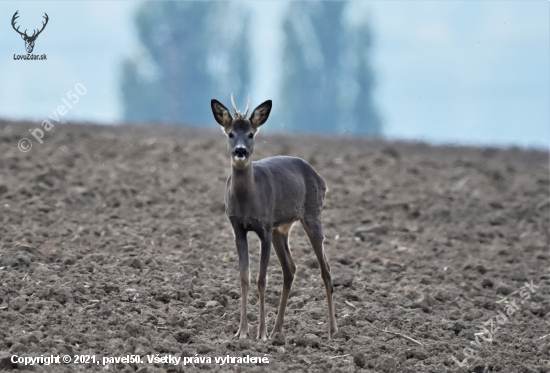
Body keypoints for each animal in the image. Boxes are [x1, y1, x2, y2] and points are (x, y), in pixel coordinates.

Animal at [212, 93, 338, 340]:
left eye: (251, 134)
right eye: (230, 133)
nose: (240, 151)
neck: (247, 201)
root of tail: (320, 178)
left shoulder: (264, 227)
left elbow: (261, 280)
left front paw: (260, 333)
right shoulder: (238, 228)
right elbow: (244, 278)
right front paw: (242, 332)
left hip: (312, 214)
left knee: (325, 269)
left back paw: (332, 330)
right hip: (281, 229)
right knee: (290, 269)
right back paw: (278, 330)